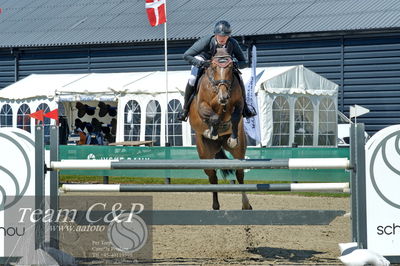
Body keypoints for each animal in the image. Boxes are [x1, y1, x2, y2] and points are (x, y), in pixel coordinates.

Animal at [188, 47, 252, 210]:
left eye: (230, 68)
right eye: (214, 67)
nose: (223, 97)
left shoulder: (238, 104)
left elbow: (234, 117)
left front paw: (232, 138)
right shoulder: (202, 105)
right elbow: (214, 117)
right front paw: (212, 131)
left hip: (239, 152)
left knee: (239, 174)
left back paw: (246, 205)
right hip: (205, 154)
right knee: (212, 177)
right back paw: (216, 205)